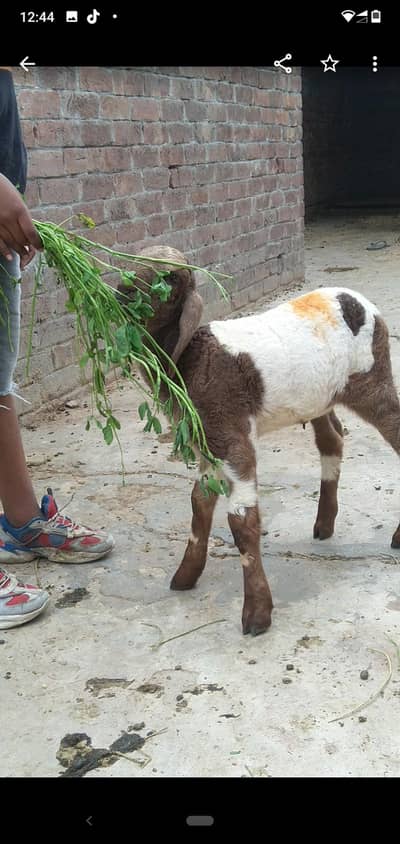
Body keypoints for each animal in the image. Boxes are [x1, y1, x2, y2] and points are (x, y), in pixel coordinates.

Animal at [119, 245, 400, 636]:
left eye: (168, 277)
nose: (120, 290)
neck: (190, 355)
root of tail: (359, 302)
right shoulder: (208, 442)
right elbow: (199, 502)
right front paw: (186, 576)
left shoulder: (232, 436)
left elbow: (241, 522)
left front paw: (257, 613)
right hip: (319, 396)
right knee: (332, 439)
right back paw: (324, 524)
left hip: (372, 381)